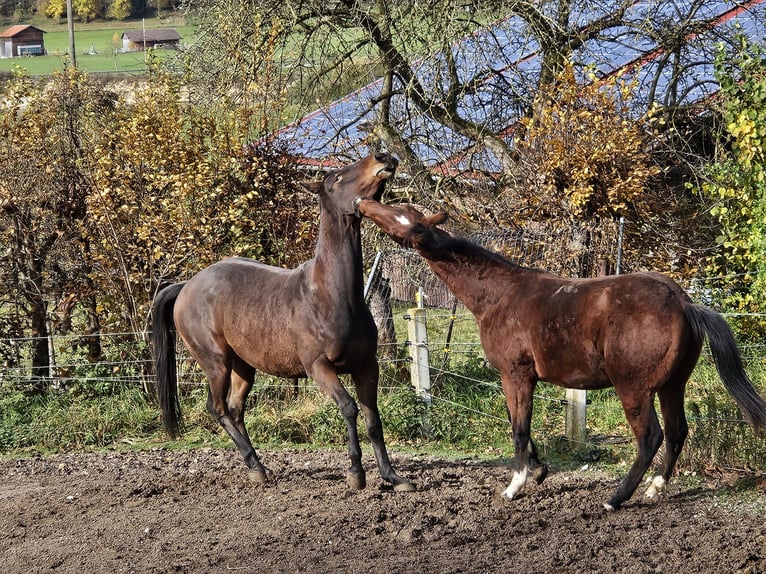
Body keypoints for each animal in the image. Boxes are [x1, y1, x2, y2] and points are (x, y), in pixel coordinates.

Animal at [151, 153, 414, 493]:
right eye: (336, 178)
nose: (383, 158)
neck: (332, 295)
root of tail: (186, 286)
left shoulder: (367, 366)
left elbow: (373, 419)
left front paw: (392, 477)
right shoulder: (319, 367)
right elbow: (349, 408)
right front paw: (356, 472)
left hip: (243, 366)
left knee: (235, 409)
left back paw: (258, 467)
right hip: (216, 363)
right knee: (218, 409)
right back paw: (256, 466)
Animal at [355, 198, 766, 510]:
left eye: (400, 214)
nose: (363, 203)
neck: (498, 296)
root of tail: (685, 303)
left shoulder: (515, 374)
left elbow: (519, 428)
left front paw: (515, 486)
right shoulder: (520, 378)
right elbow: (519, 422)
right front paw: (538, 471)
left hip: (634, 389)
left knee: (651, 436)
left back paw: (616, 498)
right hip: (671, 385)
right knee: (679, 432)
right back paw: (654, 489)